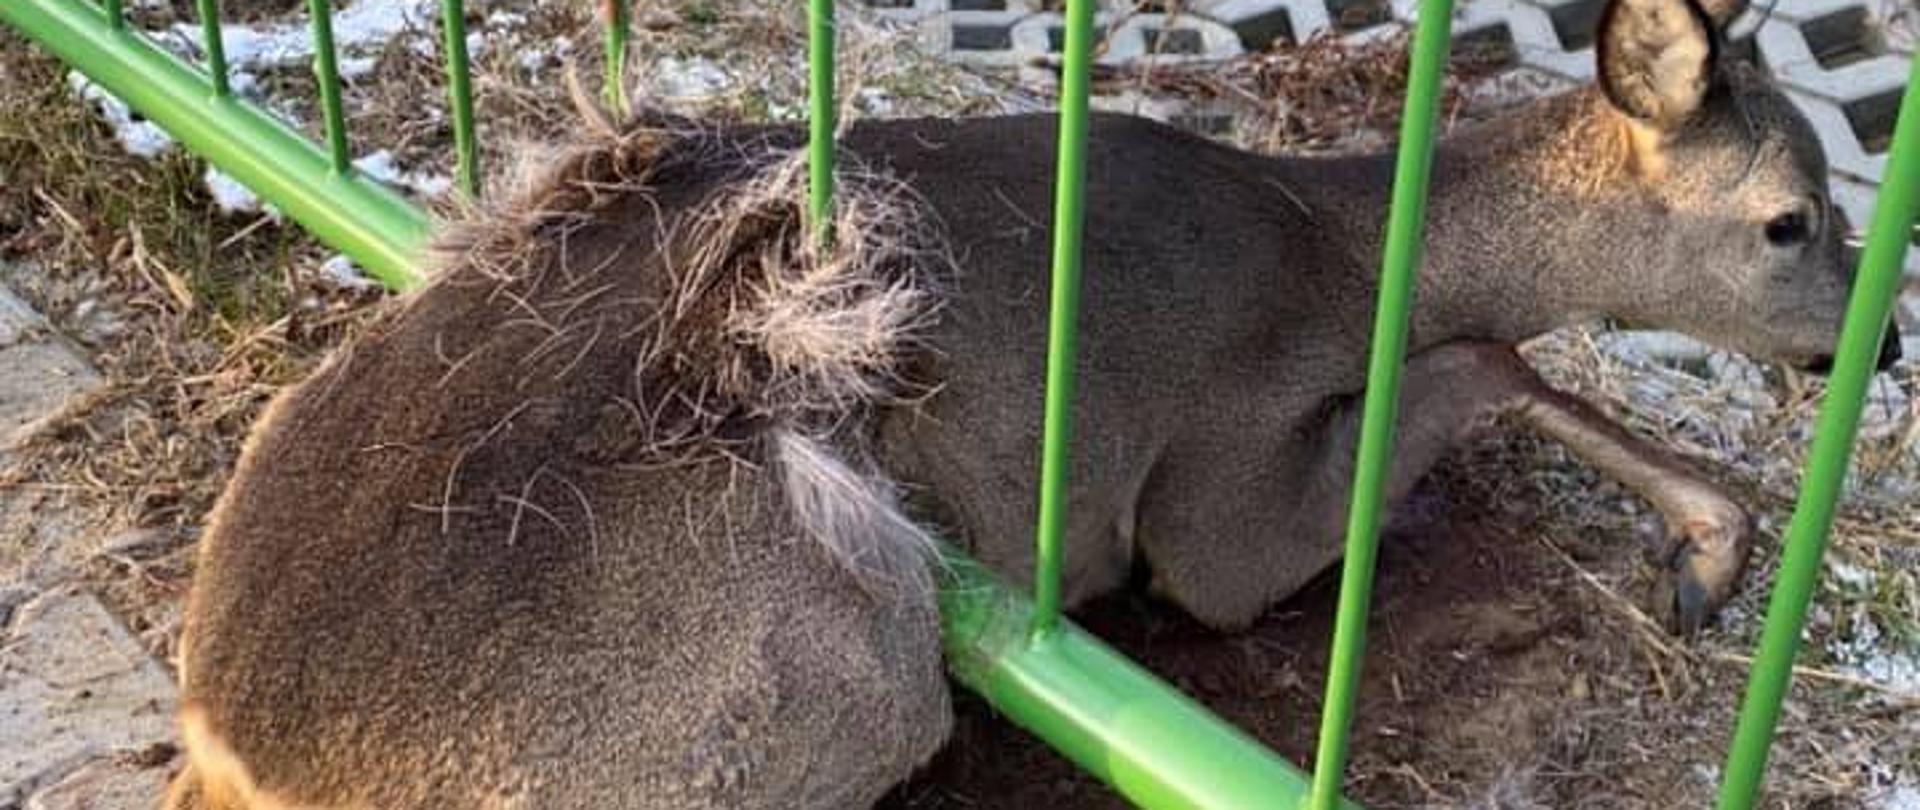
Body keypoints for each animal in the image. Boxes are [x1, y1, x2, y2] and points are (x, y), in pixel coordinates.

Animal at [165, 0, 1904, 806]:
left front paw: (1708, 544)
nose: (1873, 347)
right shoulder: (1210, 488)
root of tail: (236, 747)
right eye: (1791, 219)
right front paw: (1710, 540)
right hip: (831, 652)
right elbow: (1496, 359)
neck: (1339, 245)